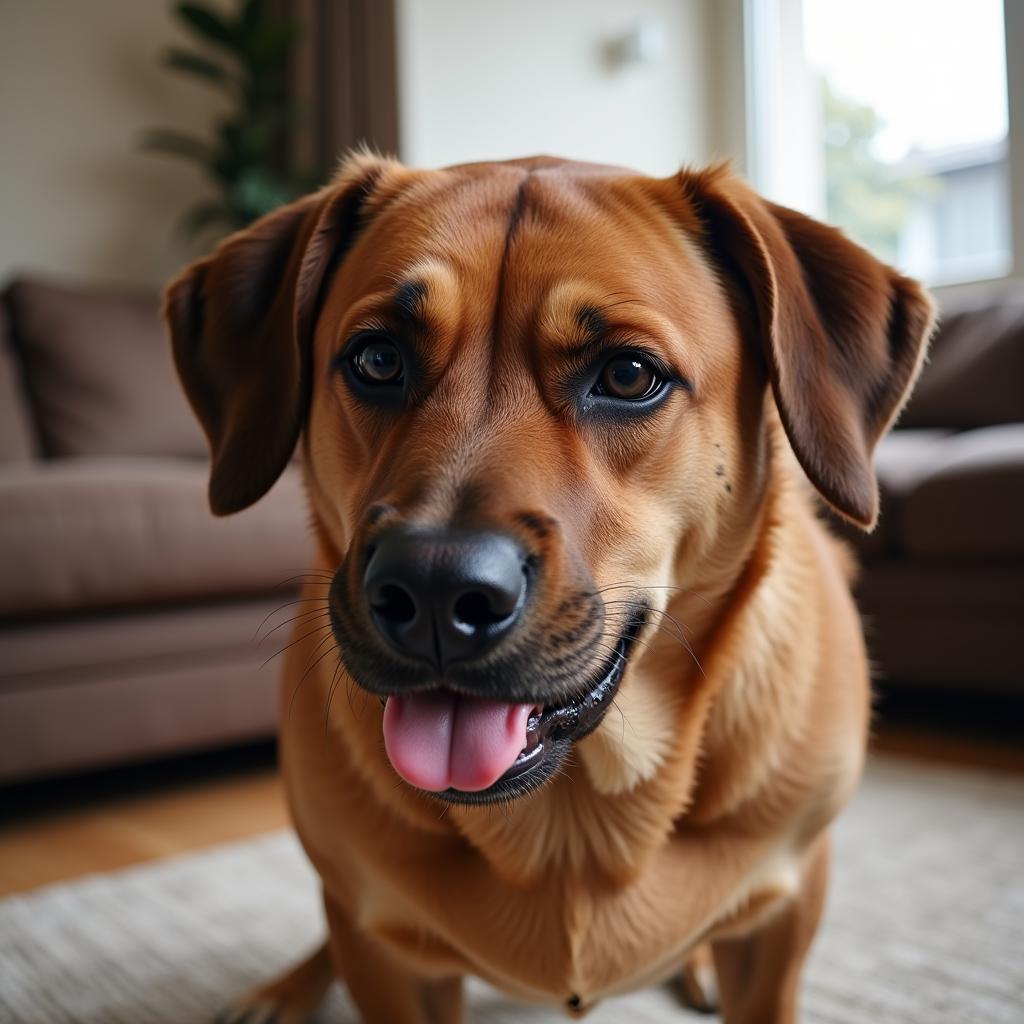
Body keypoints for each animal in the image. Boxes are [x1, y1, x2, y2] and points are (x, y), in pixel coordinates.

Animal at [165, 153, 937, 1024]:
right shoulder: (386, 957)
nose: (434, 590)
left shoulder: (784, 919)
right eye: (376, 360)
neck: (571, 825)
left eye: (629, 375)